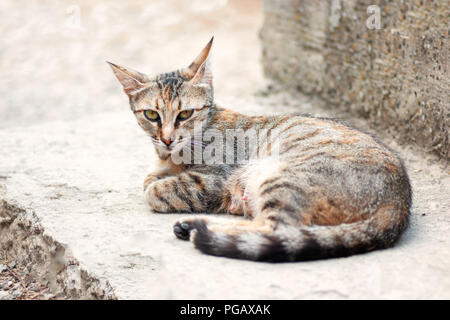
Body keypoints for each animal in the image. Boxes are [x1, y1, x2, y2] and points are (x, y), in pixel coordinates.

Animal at [108, 38, 412, 262]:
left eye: (185, 114)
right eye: (151, 115)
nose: (167, 139)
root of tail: (400, 202)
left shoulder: (213, 180)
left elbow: (155, 190)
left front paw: (161, 186)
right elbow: (151, 178)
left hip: (283, 178)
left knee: (276, 229)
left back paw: (199, 228)